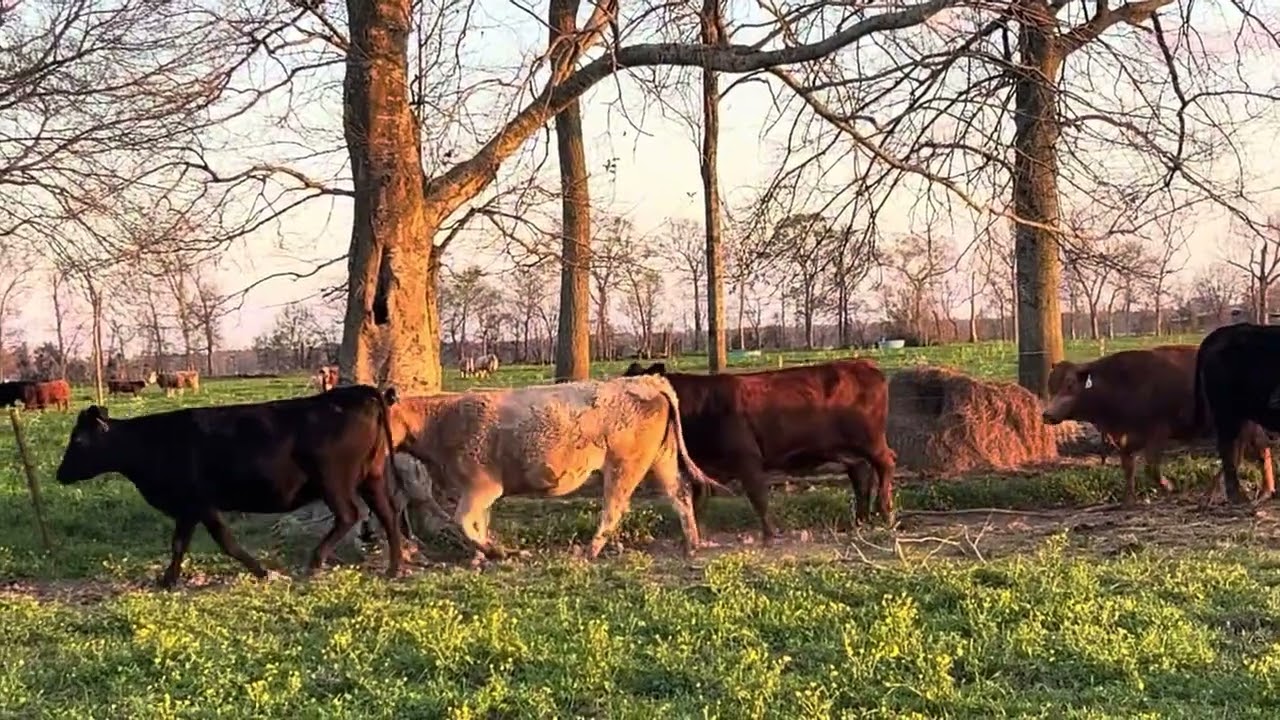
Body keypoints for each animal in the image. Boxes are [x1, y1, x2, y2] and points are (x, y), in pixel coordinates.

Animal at [53, 384, 407, 587]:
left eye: (79, 440)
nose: (59, 474)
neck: (153, 443)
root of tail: (357, 392)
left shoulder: (200, 503)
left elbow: (225, 542)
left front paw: (262, 572)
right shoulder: (188, 508)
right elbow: (179, 544)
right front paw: (168, 580)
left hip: (334, 479)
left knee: (349, 514)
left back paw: (316, 561)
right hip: (371, 475)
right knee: (388, 514)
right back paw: (393, 568)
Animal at [385, 375, 732, 562]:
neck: (441, 421)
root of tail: (644, 381)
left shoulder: (481, 486)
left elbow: (464, 523)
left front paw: (498, 552)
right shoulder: (479, 491)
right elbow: (478, 524)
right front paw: (483, 555)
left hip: (624, 466)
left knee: (613, 509)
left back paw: (589, 551)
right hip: (662, 459)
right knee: (680, 494)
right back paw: (691, 544)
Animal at [622, 359, 897, 542]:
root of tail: (865, 365)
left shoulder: (747, 459)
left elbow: (758, 497)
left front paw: (770, 533)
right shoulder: (702, 466)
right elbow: (696, 500)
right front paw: (693, 536)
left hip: (871, 442)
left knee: (886, 463)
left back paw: (885, 511)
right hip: (847, 451)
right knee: (861, 474)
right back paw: (860, 519)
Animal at [1042, 345, 1275, 506]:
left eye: (1070, 385)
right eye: (1051, 387)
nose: (1047, 414)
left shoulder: (1157, 431)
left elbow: (1151, 467)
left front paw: (1169, 487)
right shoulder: (1130, 435)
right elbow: (1128, 465)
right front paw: (1128, 500)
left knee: (1239, 455)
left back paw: (1215, 495)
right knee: (1260, 450)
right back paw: (1264, 491)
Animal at [1193, 323, 1280, 505]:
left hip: (1246, 417)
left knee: (1256, 446)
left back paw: (1264, 492)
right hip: (1226, 413)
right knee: (1228, 449)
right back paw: (1238, 496)